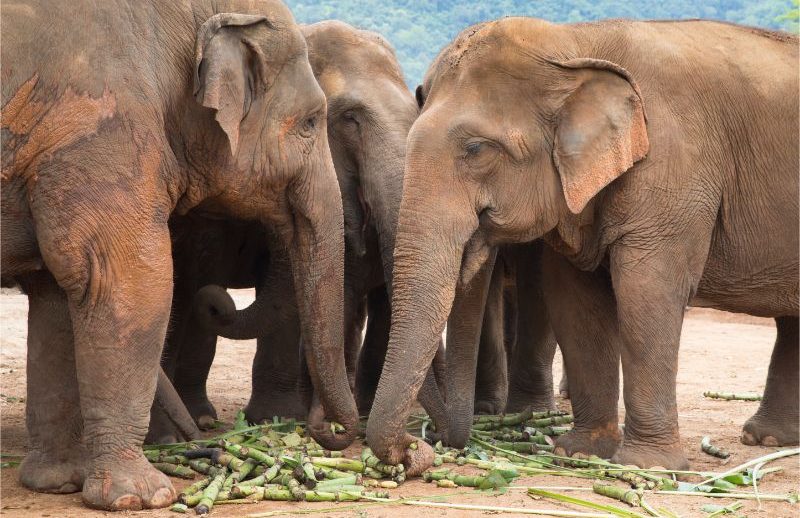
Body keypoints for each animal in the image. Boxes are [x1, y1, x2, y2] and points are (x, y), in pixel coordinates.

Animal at [0, 0, 356, 512]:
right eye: (310, 122)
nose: (331, 431)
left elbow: (58, 293)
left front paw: (58, 483)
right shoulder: (103, 128)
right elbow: (125, 281)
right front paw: (141, 498)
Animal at [368, 17, 800, 476]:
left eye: (476, 149)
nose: (419, 448)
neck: (575, 44)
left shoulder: (675, 169)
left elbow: (647, 291)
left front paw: (645, 466)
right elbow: (575, 300)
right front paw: (578, 453)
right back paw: (769, 439)